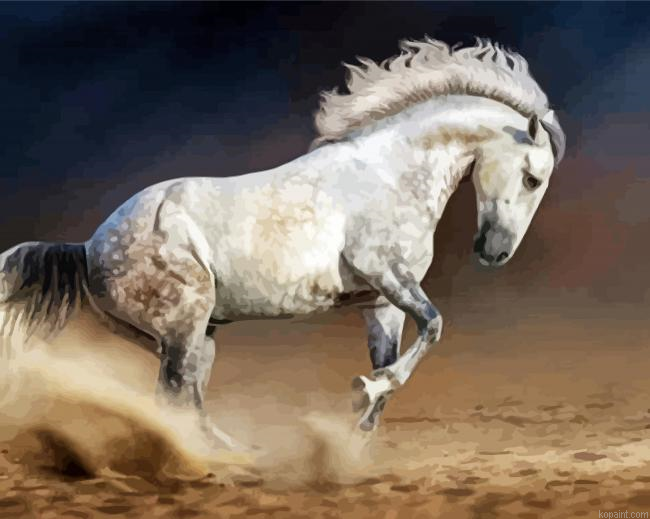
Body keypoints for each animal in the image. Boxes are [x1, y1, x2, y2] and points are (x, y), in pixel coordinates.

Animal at [0, 38, 565, 449]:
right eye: (532, 178)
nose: (495, 253)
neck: (389, 171)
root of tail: (89, 247)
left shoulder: (381, 303)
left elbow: (401, 356)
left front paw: (355, 432)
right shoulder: (384, 271)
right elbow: (434, 328)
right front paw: (362, 392)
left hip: (191, 338)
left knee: (185, 401)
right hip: (184, 325)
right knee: (172, 400)